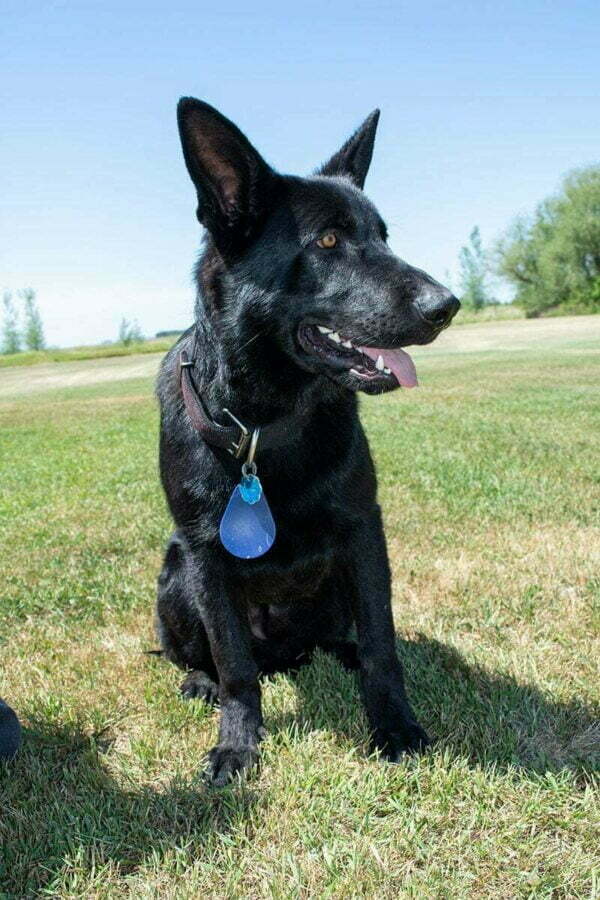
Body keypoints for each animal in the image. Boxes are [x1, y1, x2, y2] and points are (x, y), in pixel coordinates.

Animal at [156, 98, 460, 784]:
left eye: (383, 236)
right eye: (326, 241)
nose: (448, 304)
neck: (265, 429)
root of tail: (288, 656)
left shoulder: (363, 531)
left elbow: (382, 646)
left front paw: (395, 726)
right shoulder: (205, 555)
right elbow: (236, 668)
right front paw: (238, 744)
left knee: (348, 637)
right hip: (175, 575)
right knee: (213, 659)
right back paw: (199, 681)